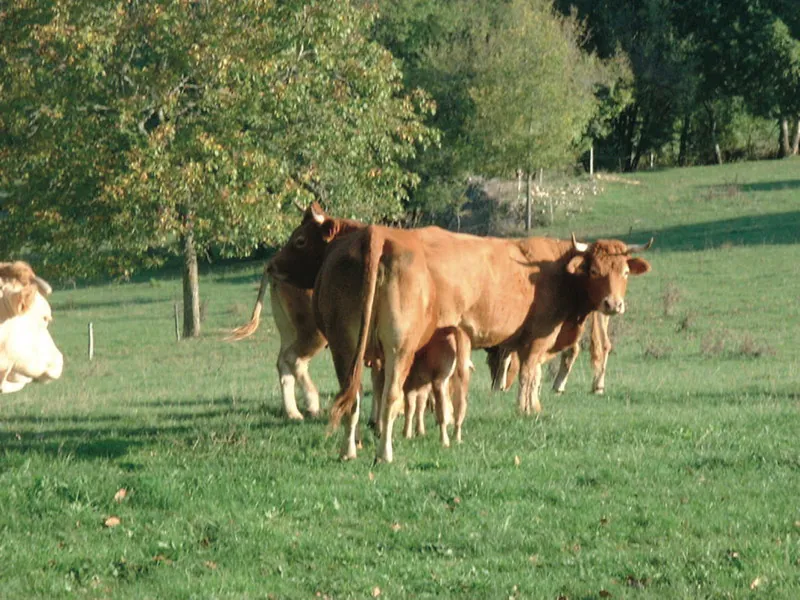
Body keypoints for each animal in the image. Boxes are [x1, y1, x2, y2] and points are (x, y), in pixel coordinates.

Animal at [268, 204, 648, 462]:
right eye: (596, 271)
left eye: (624, 272)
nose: (614, 304)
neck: (552, 268)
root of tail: (376, 236)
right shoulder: (539, 336)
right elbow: (530, 375)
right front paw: (528, 410)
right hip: (398, 347)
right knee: (388, 393)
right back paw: (383, 451)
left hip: (345, 347)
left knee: (353, 392)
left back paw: (351, 447)